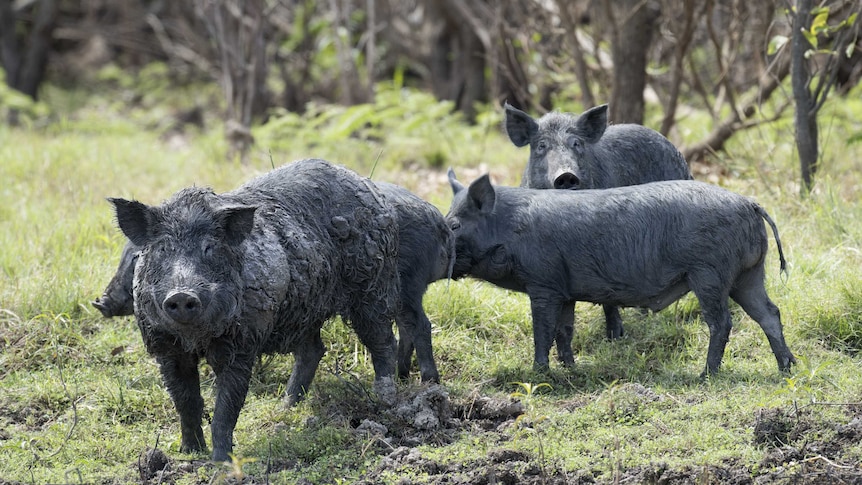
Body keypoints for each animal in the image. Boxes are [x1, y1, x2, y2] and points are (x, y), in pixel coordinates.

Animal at [95, 180, 456, 384]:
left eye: (135, 258)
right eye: (150, 254)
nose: (100, 302)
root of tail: (439, 221)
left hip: (391, 288)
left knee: (412, 327)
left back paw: (421, 383)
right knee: (316, 349)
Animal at [108, 160, 402, 462]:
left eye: (209, 248)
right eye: (163, 249)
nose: (181, 294)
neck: (195, 339)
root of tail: (366, 185)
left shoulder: (242, 344)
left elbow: (226, 408)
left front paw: (220, 462)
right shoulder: (165, 348)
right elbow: (186, 402)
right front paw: (189, 453)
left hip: (373, 285)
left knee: (383, 341)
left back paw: (385, 400)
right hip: (304, 310)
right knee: (313, 350)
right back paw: (287, 407)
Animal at [448, 168, 800, 376]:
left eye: (454, 225)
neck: (509, 230)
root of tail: (749, 204)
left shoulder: (543, 283)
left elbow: (542, 330)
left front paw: (539, 373)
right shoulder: (564, 290)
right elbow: (564, 330)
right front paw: (571, 368)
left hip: (709, 273)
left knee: (721, 322)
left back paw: (706, 375)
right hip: (748, 274)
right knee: (770, 313)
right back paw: (787, 367)